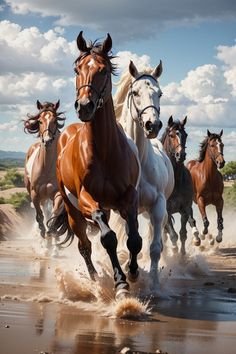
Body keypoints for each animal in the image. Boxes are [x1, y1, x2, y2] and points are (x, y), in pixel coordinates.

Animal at [23, 99, 65, 252]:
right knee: (43, 214)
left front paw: (52, 240)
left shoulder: (57, 195)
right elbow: (40, 217)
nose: (47, 140)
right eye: (40, 121)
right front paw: (43, 238)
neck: (46, 167)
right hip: (41, 197)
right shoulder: (35, 195)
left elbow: (54, 217)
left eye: (54, 120)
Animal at [54, 31, 142, 300]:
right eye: (77, 69)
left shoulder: (128, 197)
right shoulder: (88, 200)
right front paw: (120, 284)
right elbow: (109, 238)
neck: (104, 151)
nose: (84, 106)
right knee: (85, 245)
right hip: (74, 212)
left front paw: (133, 272)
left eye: (103, 70)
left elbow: (134, 238)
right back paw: (95, 279)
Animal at [109, 61, 174, 288]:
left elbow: (154, 248)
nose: (152, 125)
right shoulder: (128, 207)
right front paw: (131, 271)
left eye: (160, 93)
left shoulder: (158, 206)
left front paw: (153, 284)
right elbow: (131, 240)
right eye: (135, 92)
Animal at [160, 116, 201, 254]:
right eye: (171, 135)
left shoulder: (185, 208)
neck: (176, 180)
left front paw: (183, 255)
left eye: (186, 135)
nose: (181, 155)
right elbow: (173, 235)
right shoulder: (166, 211)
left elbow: (183, 233)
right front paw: (175, 251)